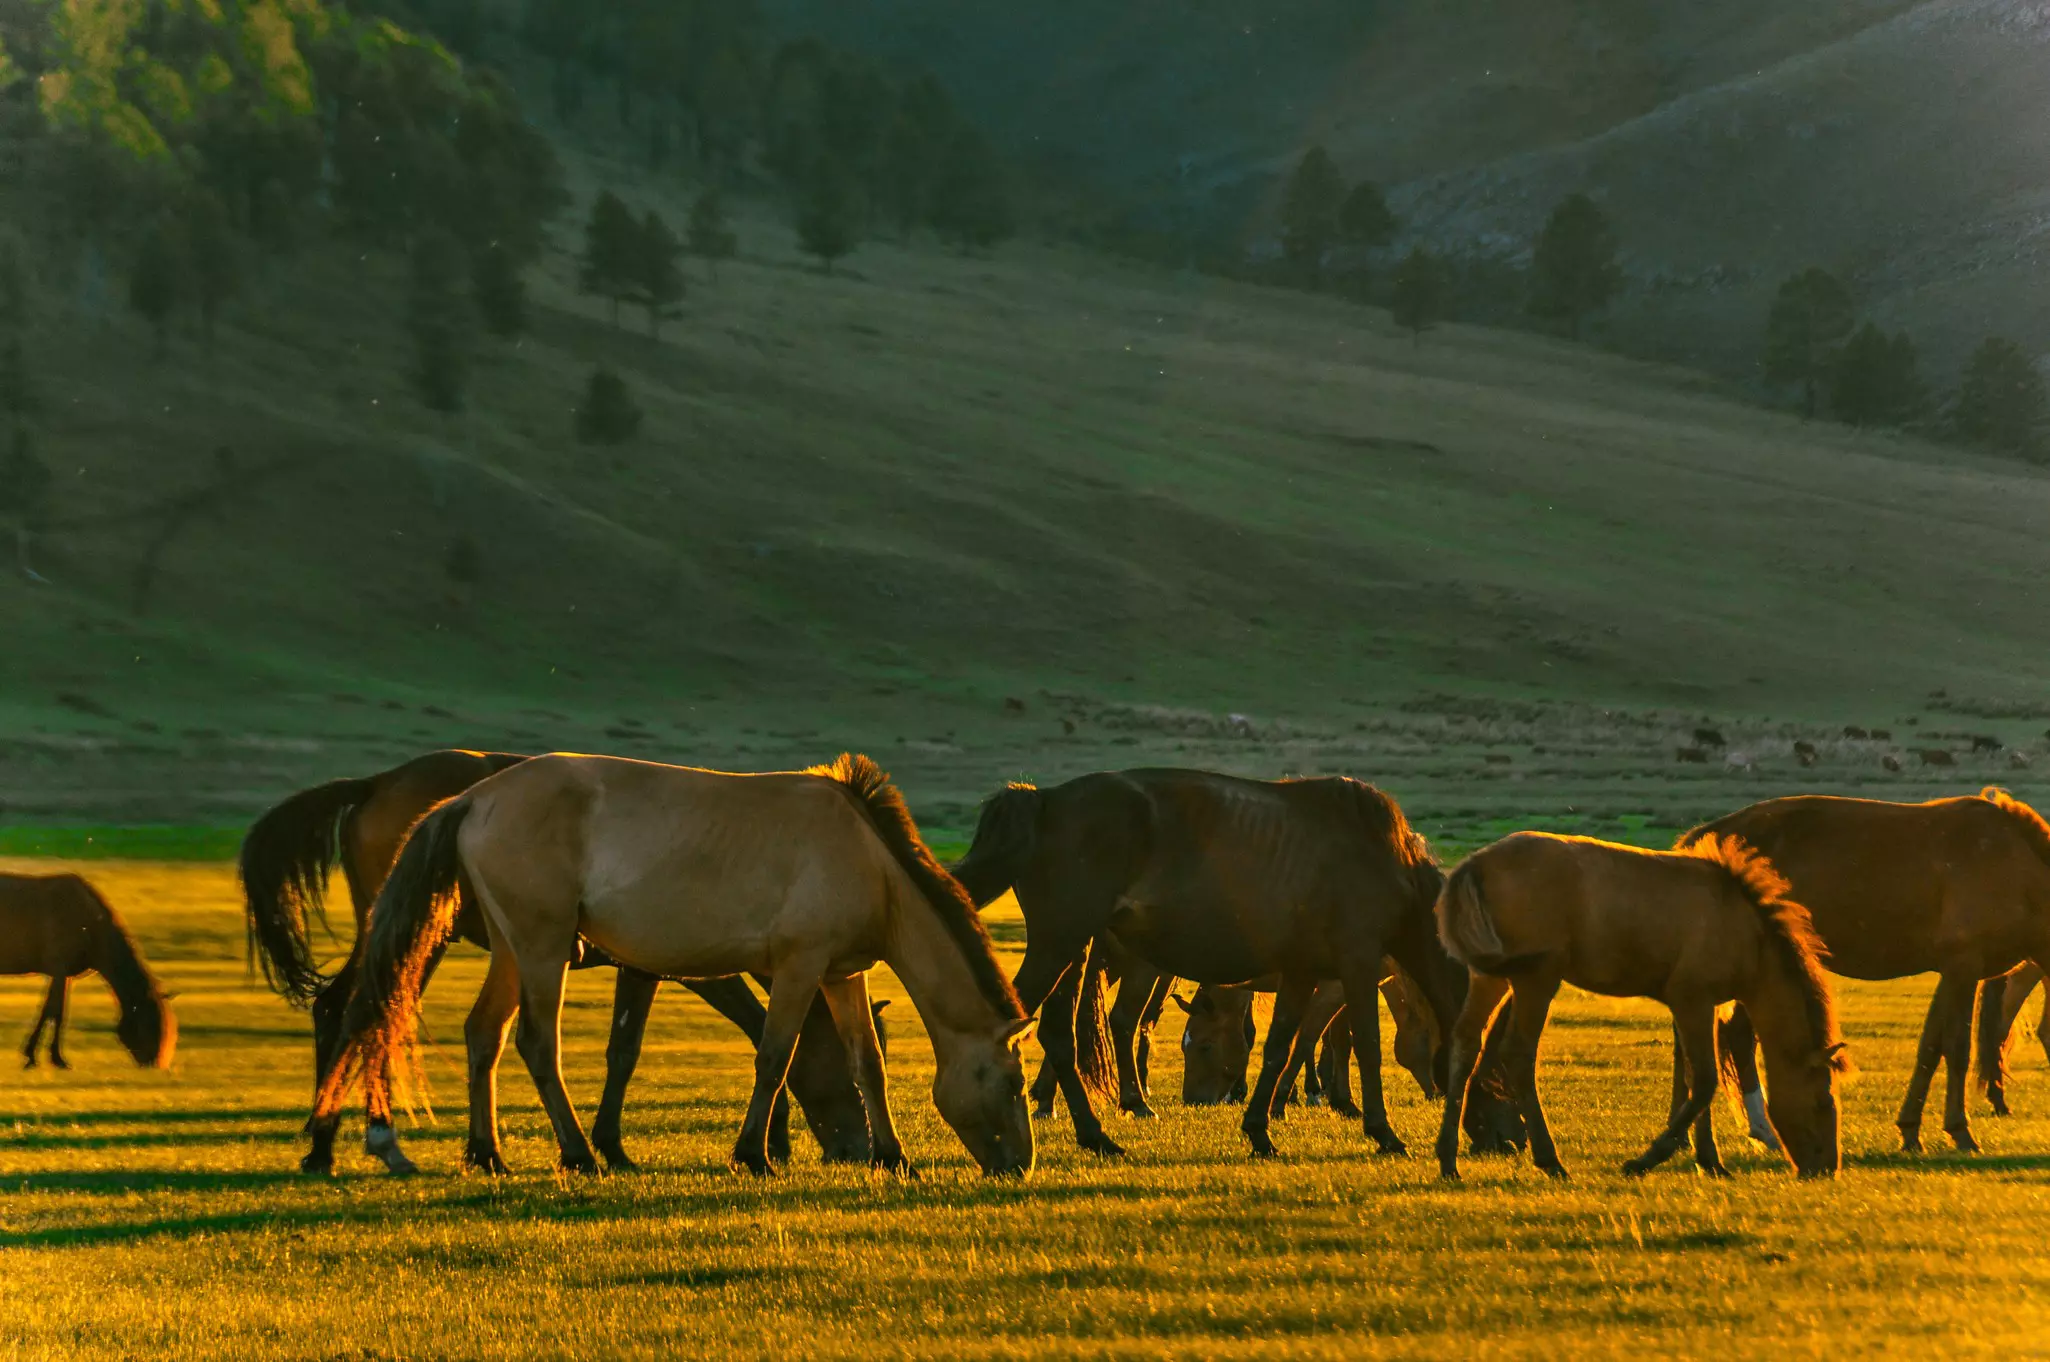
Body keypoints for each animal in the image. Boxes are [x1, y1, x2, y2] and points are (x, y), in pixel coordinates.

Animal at [2, 873, 176, 1072]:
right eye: (150, 1022)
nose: (156, 1063)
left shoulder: (63, 975)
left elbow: (53, 1012)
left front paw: (45, 1056)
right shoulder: (58, 970)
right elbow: (53, 1012)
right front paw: (45, 1057)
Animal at [240, 749, 874, 1175]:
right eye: (846, 1070)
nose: (858, 1148)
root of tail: (374, 785)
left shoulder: (645, 966)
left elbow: (627, 1049)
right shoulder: (673, 964)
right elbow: (690, 1040)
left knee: (340, 1007)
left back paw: (327, 1143)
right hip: (426, 935)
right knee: (368, 1013)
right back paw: (372, 1140)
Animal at [316, 754, 1034, 1177]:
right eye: (1013, 1083)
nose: (1019, 1167)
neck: (866, 858)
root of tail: (473, 798)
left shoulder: (841, 974)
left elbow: (867, 1063)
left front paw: (892, 1156)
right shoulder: (799, 966)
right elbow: (775, 1056)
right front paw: (754, 1156)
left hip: (513, 948)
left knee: (484, 1033)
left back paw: (487, 1154)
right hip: (544, 948)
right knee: (535, 1043)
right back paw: (578, 1155)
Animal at [953, 768, 1466, 1159]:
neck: (1385, 860)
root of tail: (1044, 800)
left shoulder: (1303, 973)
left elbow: (1280, 1047)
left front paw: (1261, 1129)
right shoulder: (1356, 965)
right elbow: (1363, 1046)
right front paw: (1382, 1131)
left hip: (1072, 953)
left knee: (1059, 1036)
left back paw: (1095, 1134)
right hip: (1064, 945)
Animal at [1435, 832, 1846, 1181]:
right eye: (1822, 1103)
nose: (1826, 1168)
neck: (1746, 932)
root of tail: (1474, 865)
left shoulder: (1704, 1006)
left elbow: (1693, 1078)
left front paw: (1709, 1161)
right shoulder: (1691, 1000)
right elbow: (1704, 1081)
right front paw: (1647, 1159)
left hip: (1491, 977)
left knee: (1465, 1043)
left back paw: (1448, 1159)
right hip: (1536, 979)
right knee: (1518, 1054)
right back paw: (1550, 1160)